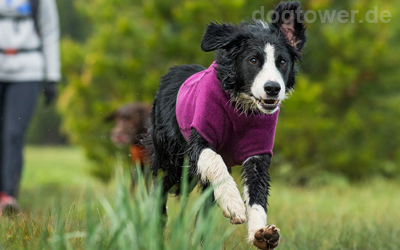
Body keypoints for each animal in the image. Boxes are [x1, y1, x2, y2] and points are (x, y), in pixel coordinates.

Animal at [147, 1, 306, 248]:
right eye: (253, 60)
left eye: (282, 62)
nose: (272, 88)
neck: (241, 108)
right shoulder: (198, 140)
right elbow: (215, 160)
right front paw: (233, 204)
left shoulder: (258, 152)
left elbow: (258, 192)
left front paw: (261, 233)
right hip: (169, 158)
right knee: (159, 192)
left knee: (203, 211)